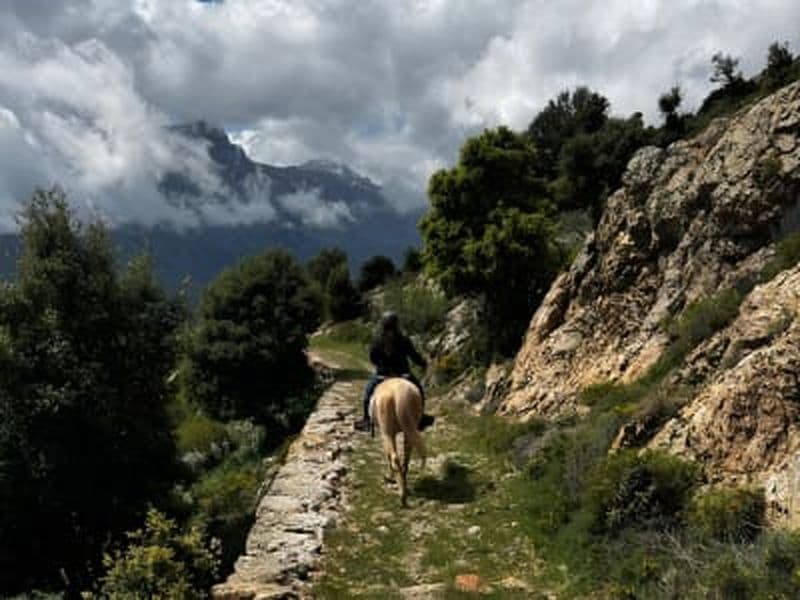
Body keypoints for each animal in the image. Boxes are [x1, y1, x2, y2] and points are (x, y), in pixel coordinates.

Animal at [370, 377, 427, 507]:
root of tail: (398, 394)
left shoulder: (386, 433)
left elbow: (388, 456)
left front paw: (388, 477)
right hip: (408, 429)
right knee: (407, 455)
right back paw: (404, 483)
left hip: (387, 432)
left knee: (394, 458)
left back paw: (402, 496)